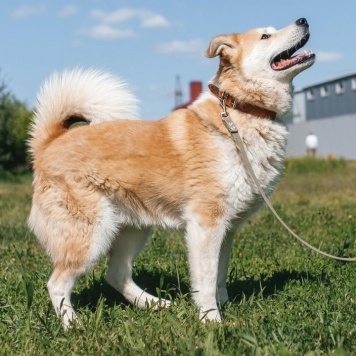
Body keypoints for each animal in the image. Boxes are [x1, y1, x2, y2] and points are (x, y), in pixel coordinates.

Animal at [28, 17, 314, 328]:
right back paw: (74, 325)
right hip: (92, 234)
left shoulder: (227, 229)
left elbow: (219, 275)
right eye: (265, 36)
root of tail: (50, 142)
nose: (303, 20)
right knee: (57, 283)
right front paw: (211, 320)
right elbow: (206, 279)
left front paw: (224, 305)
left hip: (133, 229)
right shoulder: (206, 224)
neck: (241, 112)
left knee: (116, 275)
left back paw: (156, 305)